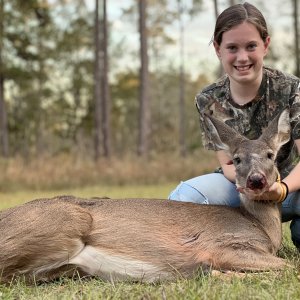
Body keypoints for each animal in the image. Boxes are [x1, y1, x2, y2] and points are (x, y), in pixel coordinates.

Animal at [0, 108, 292, 284]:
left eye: (270, 155)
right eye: (237, 159)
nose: (256, 180)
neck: (264, 231)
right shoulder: (222, 244)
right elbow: (289, 267)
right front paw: (215, 273)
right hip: (67, 219)